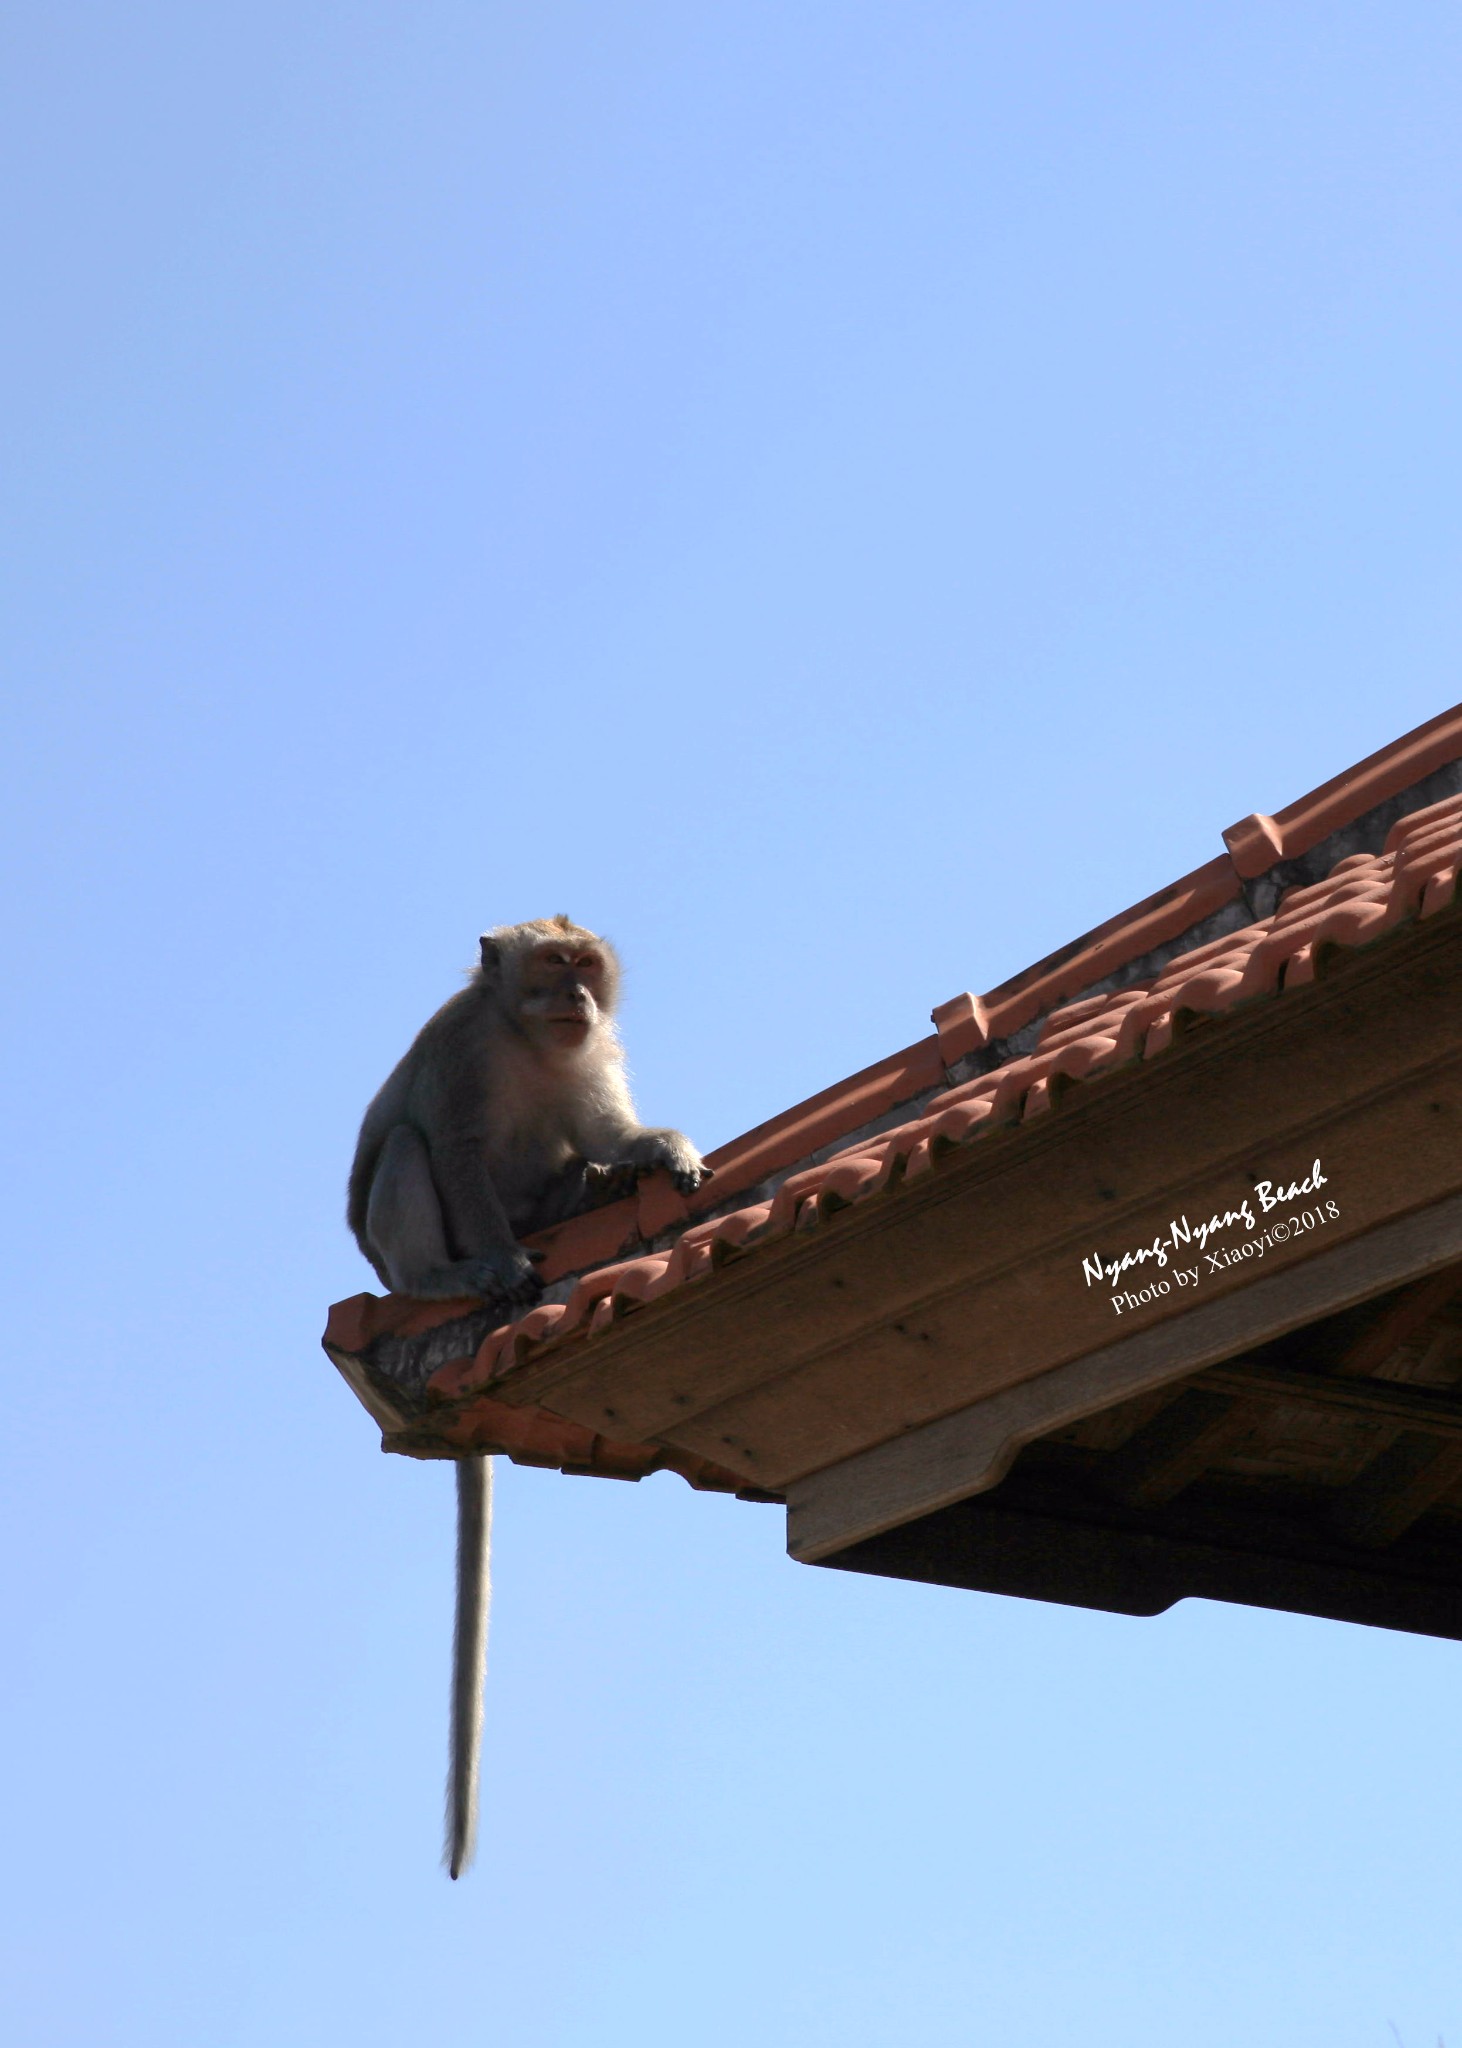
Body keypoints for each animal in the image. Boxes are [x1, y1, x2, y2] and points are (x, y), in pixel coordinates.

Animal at [341, 921, 704, 1875]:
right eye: (551, 965)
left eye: (585, 968)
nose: (575, 996)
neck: (530, 1040)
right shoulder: (462, 1052)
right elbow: (455, 1150)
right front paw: (500, 1263)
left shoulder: (592, 1053)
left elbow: (603, 1125)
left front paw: (663, 1149)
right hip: (399, 1261)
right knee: (409, 1151)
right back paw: (452, 1275)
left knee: (574, 1162)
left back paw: (603, 1187)